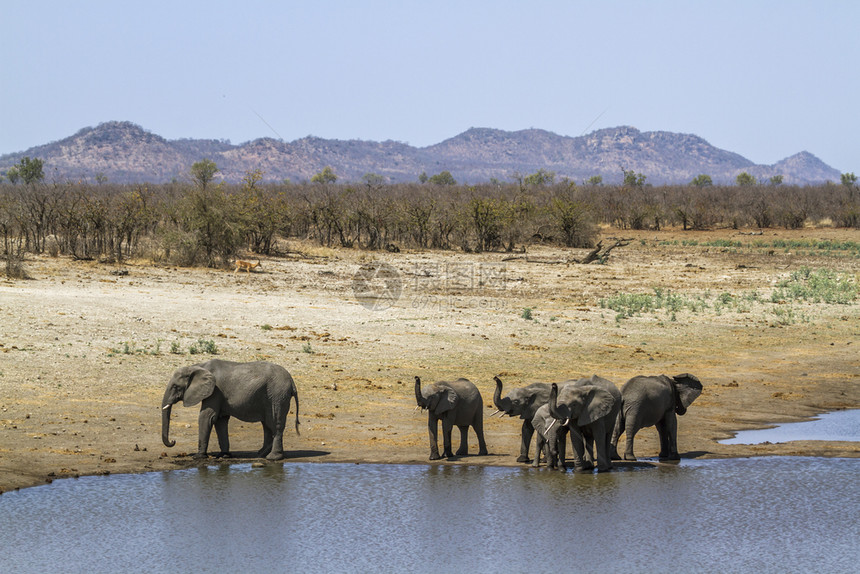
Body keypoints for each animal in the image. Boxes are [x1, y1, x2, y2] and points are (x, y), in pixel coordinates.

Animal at [163, 360, 300, 464]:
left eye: (175, 387)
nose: (173, 441)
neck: (197, 366)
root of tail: (292, 382)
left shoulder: (215, 391)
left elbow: (207, 417)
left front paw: (198, 457)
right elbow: (220, 420)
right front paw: (224, 455)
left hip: (278, 396)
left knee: (276, 424)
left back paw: (272, 458)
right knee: (266, 424)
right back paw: (260, 454)